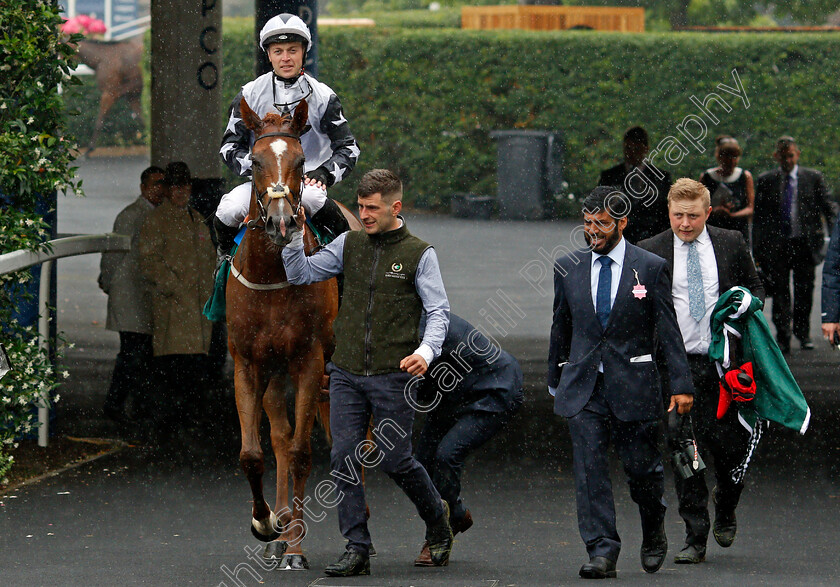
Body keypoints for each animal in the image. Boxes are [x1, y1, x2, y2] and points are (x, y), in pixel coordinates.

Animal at [226, 99, 360, 572]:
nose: (281, 223)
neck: (273, 275)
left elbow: (304, 453)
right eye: (255, 160)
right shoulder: (249, 364)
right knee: (281, 438)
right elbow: (253, 453)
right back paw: (280, 528)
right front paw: (265, 524)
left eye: (302, 161)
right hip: (274, 371)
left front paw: (298, 548)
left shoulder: (309, 361)